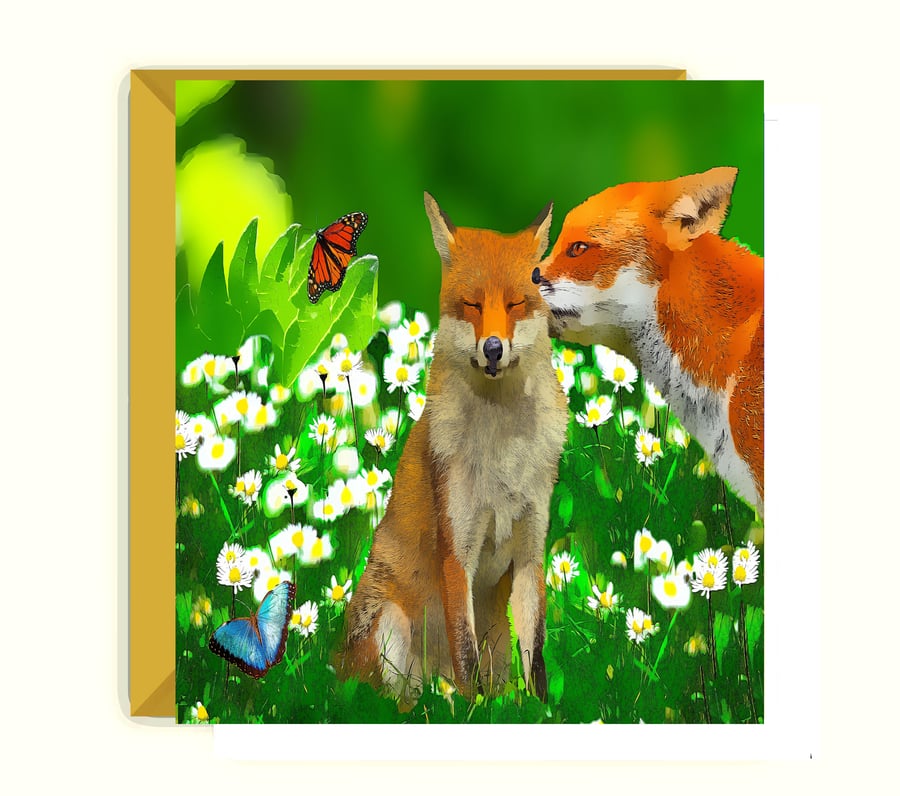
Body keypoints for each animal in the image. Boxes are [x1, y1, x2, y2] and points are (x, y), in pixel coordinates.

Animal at [336, 193, 569, 706]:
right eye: (472, 304)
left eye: (516, 303)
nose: (494, 348)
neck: (504, 454)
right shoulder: (457, 550)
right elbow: (465, 654)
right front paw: (474, 708)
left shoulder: (530, 552)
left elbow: (538, 658)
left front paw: (543, 712)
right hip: (390, 628)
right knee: (404, 704)